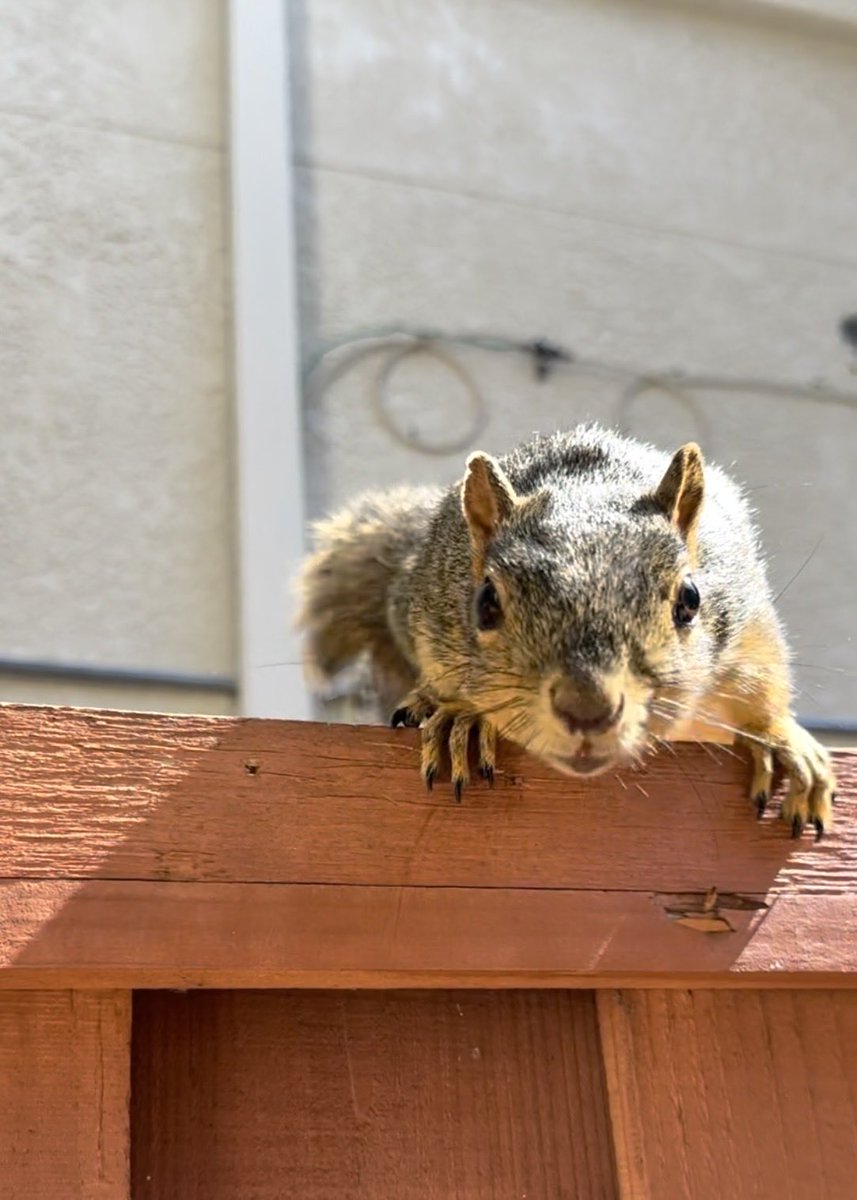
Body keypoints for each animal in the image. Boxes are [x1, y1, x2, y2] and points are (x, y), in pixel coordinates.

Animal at [297, 424, 836, 839]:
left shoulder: (744, 626)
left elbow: (762, 683)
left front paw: (780, 738)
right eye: (485, 603)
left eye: (691, 600)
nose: (587, 709)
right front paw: (462, 717)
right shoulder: (427, 613)